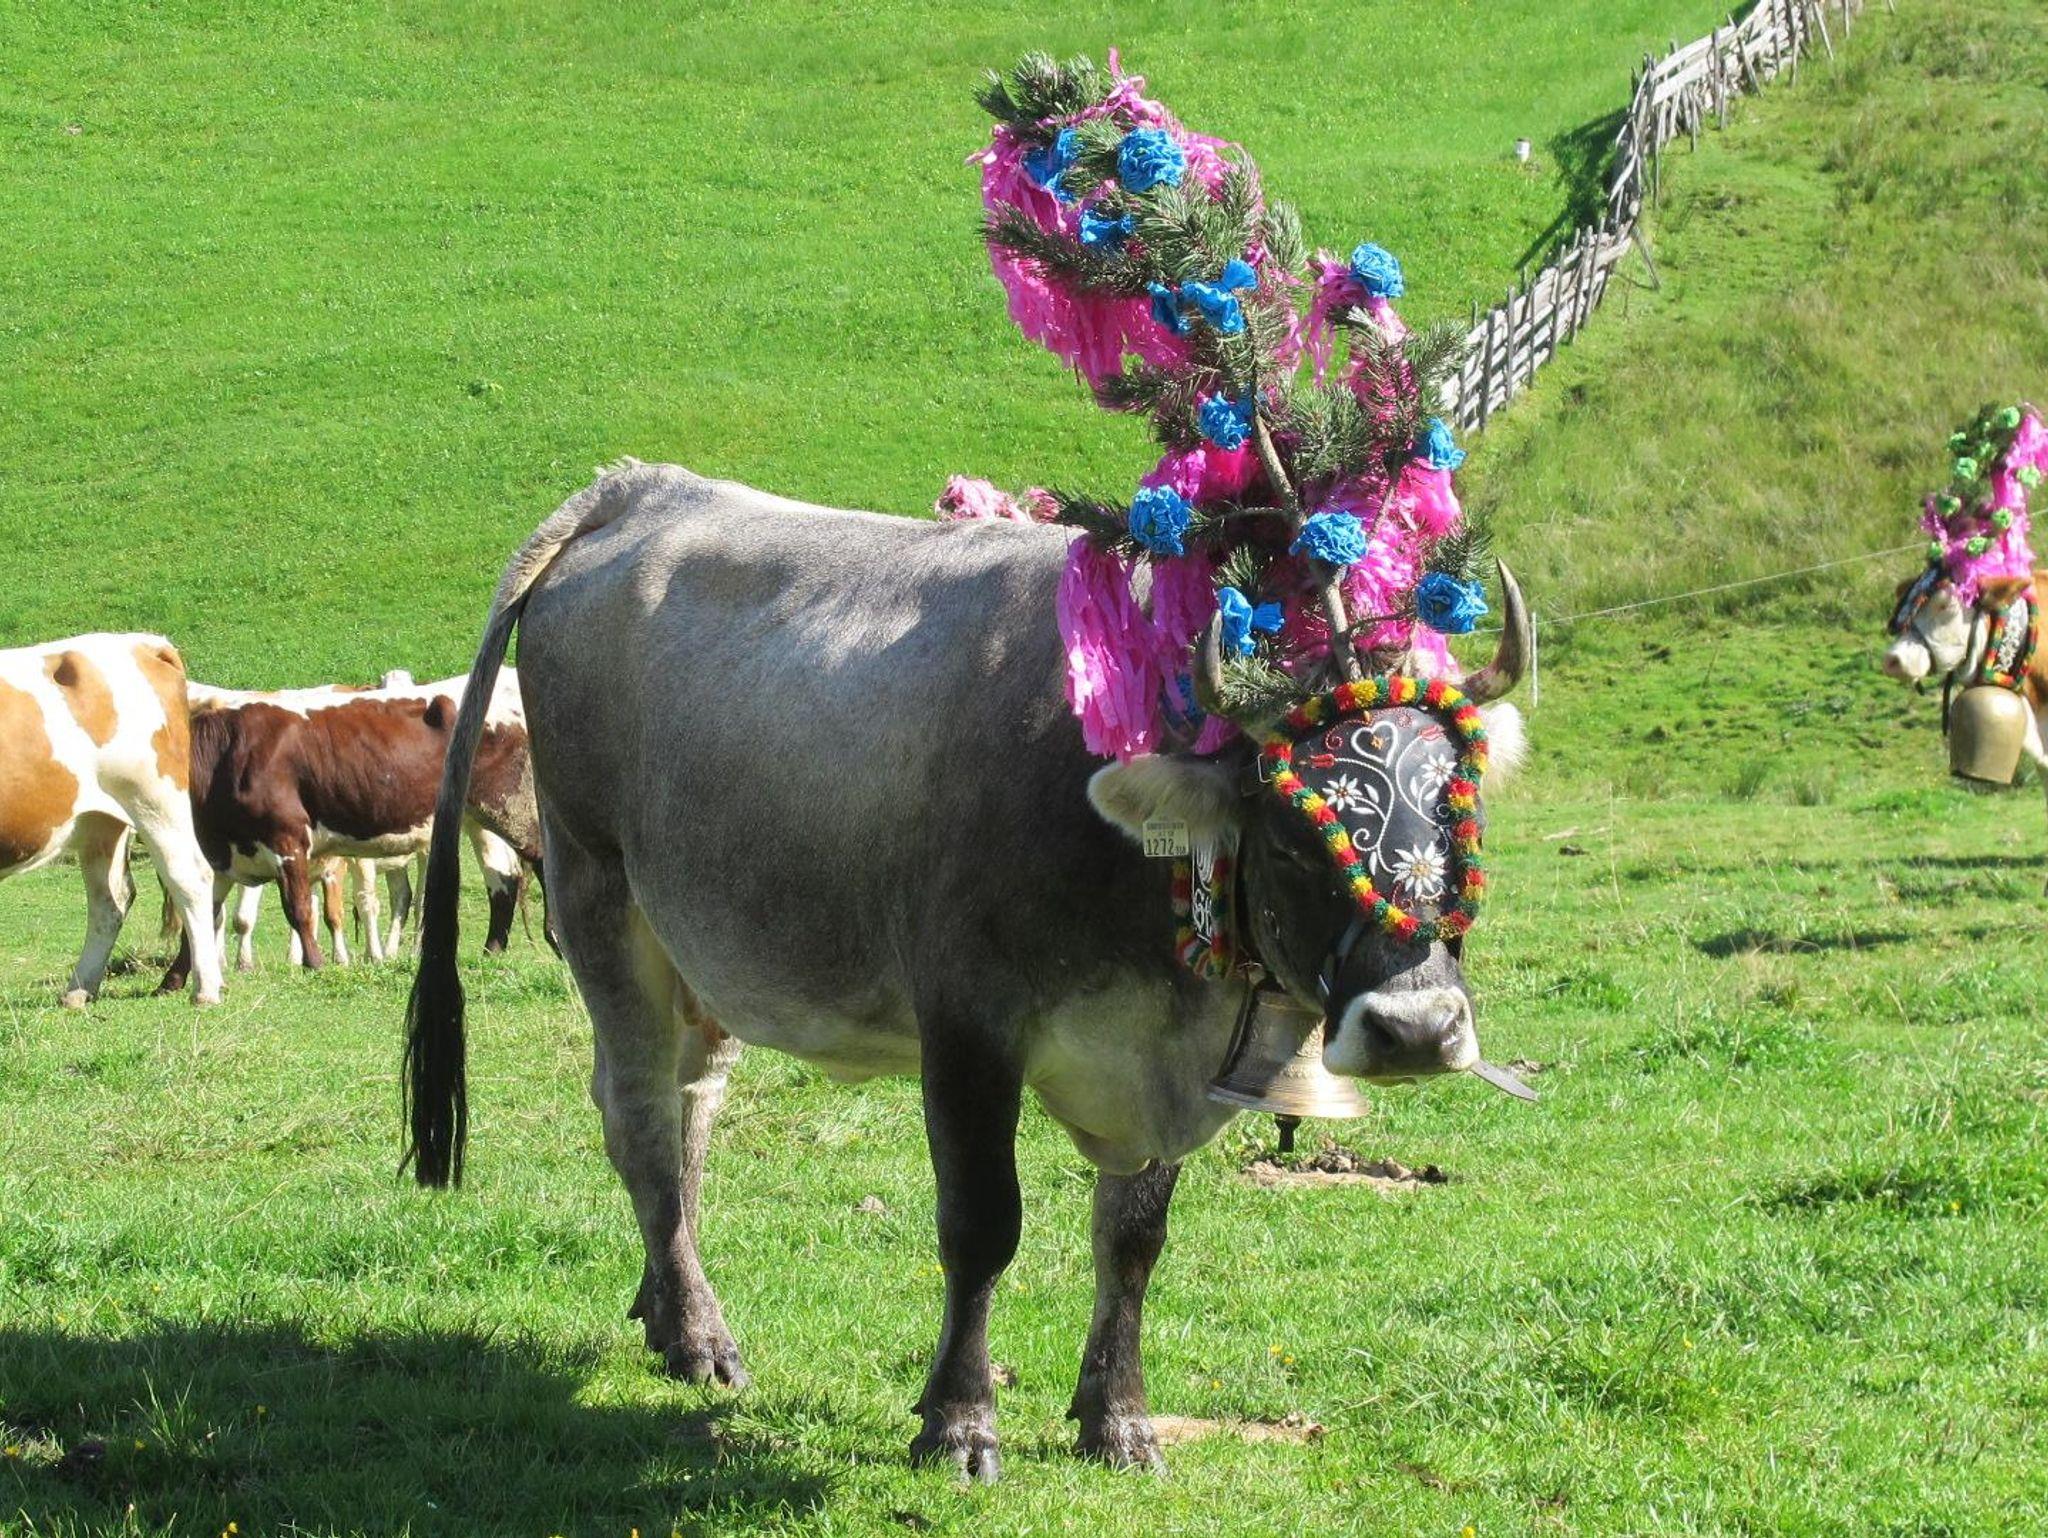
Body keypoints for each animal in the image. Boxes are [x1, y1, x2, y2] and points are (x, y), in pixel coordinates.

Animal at [0, 634, 223, 1007]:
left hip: (154, 800)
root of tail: (142, 642)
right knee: (110, 901)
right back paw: (78, 990)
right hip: (100, 822)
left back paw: (206, 990)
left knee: (190, 878)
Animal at [156, 673, 543, 993]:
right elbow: (201, 916)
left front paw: (315, 963)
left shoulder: (288, 839)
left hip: (514, 807)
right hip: (480, 819)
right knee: (502, 878)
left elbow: (298, 908)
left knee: (537, 861)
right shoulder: (223, 855)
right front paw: (172, 979)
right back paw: (494, 951)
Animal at [403, 463, 1532, 1479]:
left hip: (712, 938)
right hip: (598, 890)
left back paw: (662, 1300)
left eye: (1463, 817)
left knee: (687, 1113)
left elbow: (1133, 1238)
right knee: (637, 1115)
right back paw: (698, 1337)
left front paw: (1118, 1419)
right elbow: (983, 1227)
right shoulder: (967, 1025)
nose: (1416, 1030)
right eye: (1296, 837)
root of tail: (637, 485)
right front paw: (957, 1423)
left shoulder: (1173, 1060)